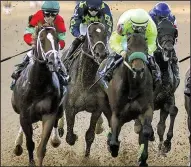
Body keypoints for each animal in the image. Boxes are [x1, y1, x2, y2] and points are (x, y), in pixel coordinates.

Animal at [11, 23, 66, 166]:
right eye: (41, 40)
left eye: (57, 39)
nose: (54, 62)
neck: (38, 86)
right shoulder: (25, 116)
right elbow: (30, 143)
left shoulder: (49, 114)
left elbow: (41, 148)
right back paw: (18, 144)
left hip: (59, 109)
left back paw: (55, 139)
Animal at [61, 21, 112, 157]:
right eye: (90, 34)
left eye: (105, 34)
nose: (101, 54)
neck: (85, 82)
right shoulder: (70, 108)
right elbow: (69, 137)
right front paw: (74, 136)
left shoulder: (97, 109)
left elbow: (90, 135)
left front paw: (86, 157)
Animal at [106, 33, 154, 166]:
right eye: (129, 48)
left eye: (145, 48)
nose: (138, 70)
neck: (133, 88)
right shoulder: (117, 114)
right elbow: (113, 142)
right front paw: (113, 148)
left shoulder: (146, 109)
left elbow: (146, 131)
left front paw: (142, 156)